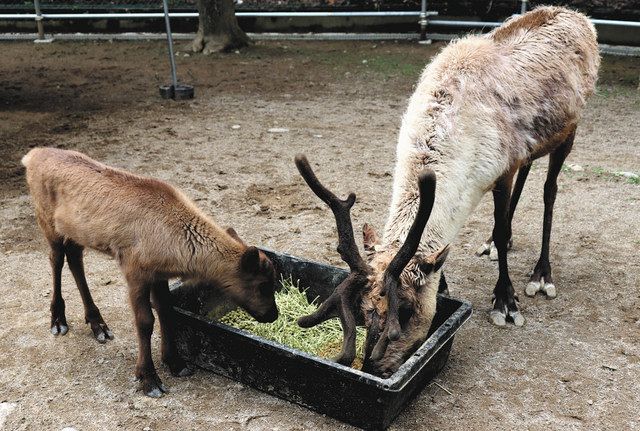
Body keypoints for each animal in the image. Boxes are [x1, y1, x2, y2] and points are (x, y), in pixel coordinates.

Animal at [21, 148, 278, 398]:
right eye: (263, 285)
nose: (273, 315)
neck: (176, 243)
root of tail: (31, 155)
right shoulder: (135, 272)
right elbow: (145, 322)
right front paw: (149, 379)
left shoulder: (159, 274)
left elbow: (166, 310)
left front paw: (175, 362)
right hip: (47, 222)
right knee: (56, 259)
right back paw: (58, 320)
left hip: (76, 232)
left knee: (75, 257)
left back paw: (98, 324)